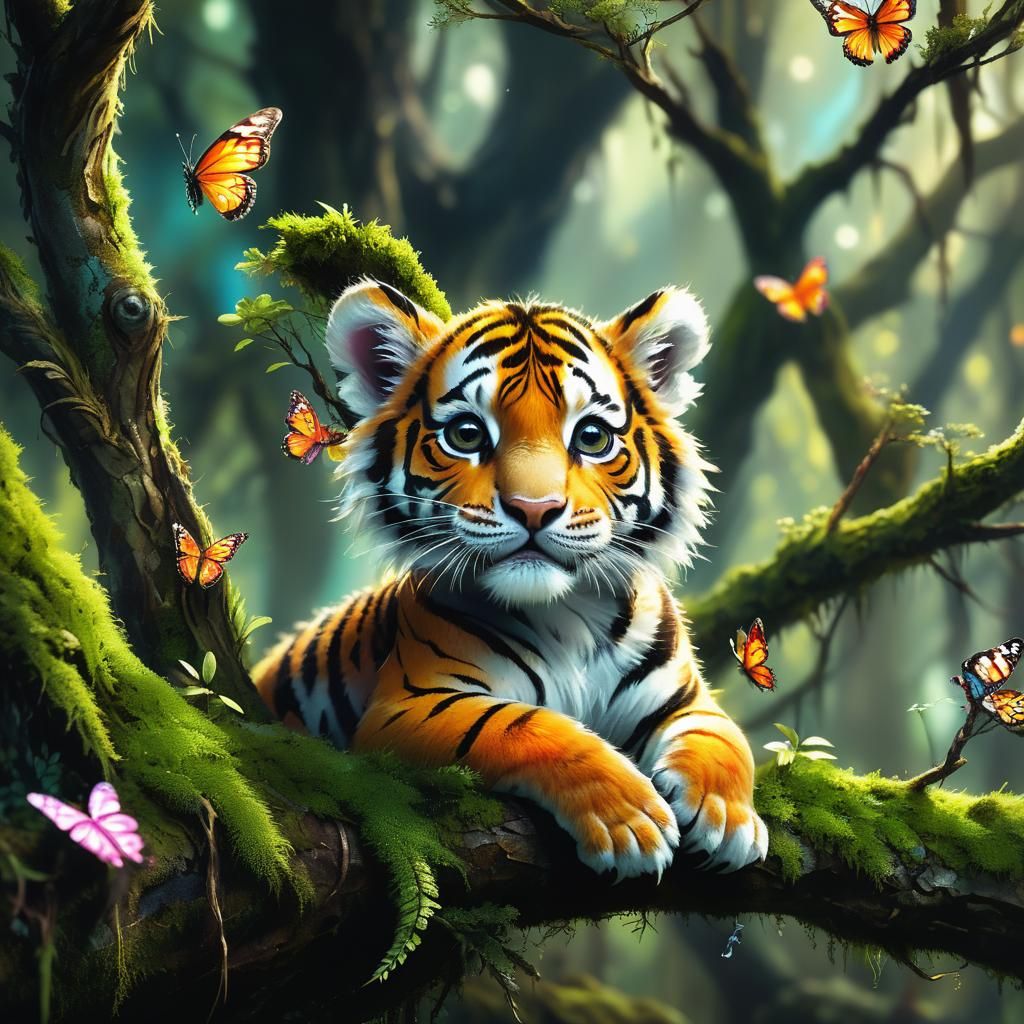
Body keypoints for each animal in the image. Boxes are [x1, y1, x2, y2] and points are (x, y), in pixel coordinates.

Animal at [253, 279, 768, 879]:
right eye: (466, 434)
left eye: (592, 437)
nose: (534, 509)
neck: (569, 614)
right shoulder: (411, 703)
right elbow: (523, 726)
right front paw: (627, 820)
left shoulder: (686, 698)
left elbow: (724, 738)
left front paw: (726, 817)